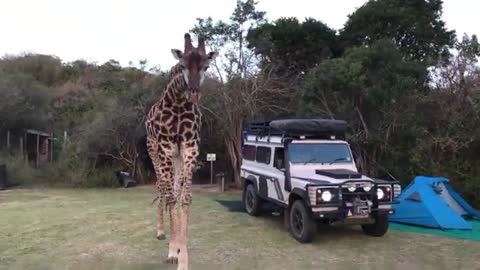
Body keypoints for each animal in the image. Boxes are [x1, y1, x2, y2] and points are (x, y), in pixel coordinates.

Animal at [143, 34, 217, 270]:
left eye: (205, 66)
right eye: (183, 65)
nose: (193, 94)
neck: (176, 102)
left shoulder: (190, 147)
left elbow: (184, 198)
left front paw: (181, 256)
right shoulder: (166, 148)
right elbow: (171, 198)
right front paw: (172, 253)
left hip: (176, 158)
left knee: (173, 190)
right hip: (154, 152)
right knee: (162, 189)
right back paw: (160, 232)